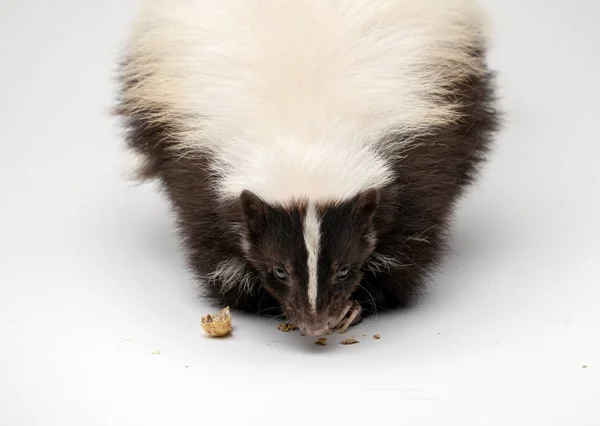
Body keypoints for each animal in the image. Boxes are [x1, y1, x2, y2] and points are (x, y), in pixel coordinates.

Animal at [115, 1, 500, 338]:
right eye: (280, 270)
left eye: (344, 268)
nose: (315, 324)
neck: (305, 131)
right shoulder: (193, 159)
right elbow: (211, 241)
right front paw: (257, 296)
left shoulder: (422, 151)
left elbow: (410, 239)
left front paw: (359, 304)